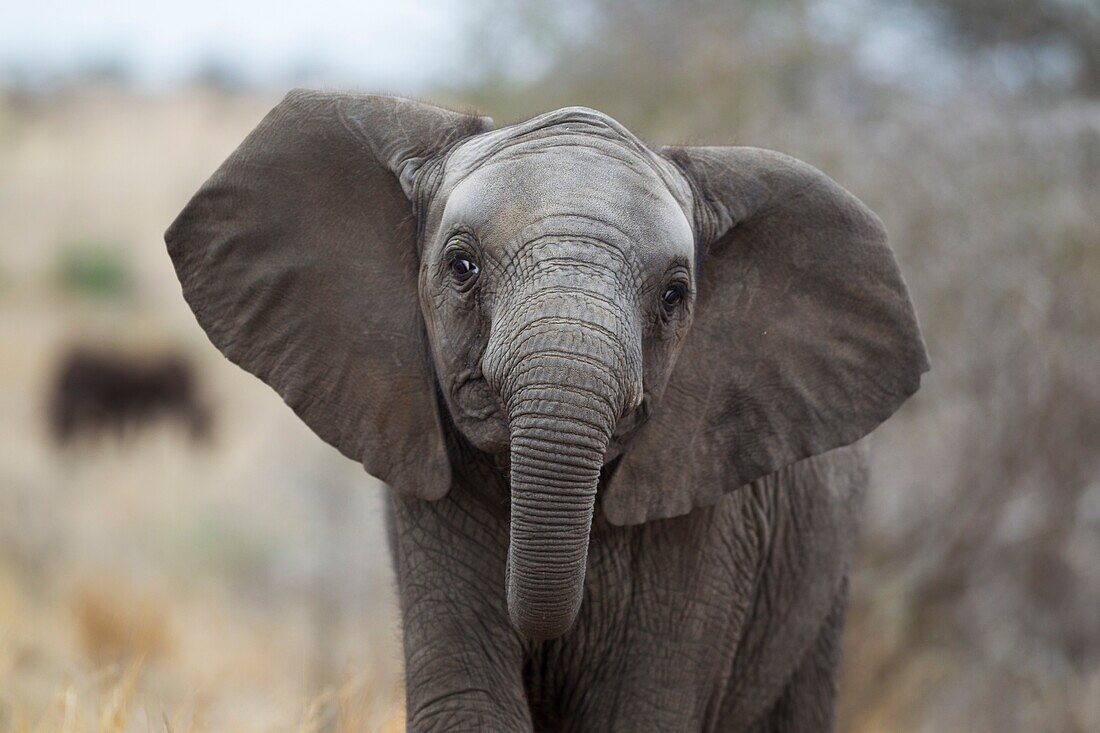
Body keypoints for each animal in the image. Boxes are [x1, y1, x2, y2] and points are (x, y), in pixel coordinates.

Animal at [167, 93, 928, 730]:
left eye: (675, 296)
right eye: (462, 266)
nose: (543, 644)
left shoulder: (717, 524)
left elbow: (639, 717)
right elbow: (468, 703)